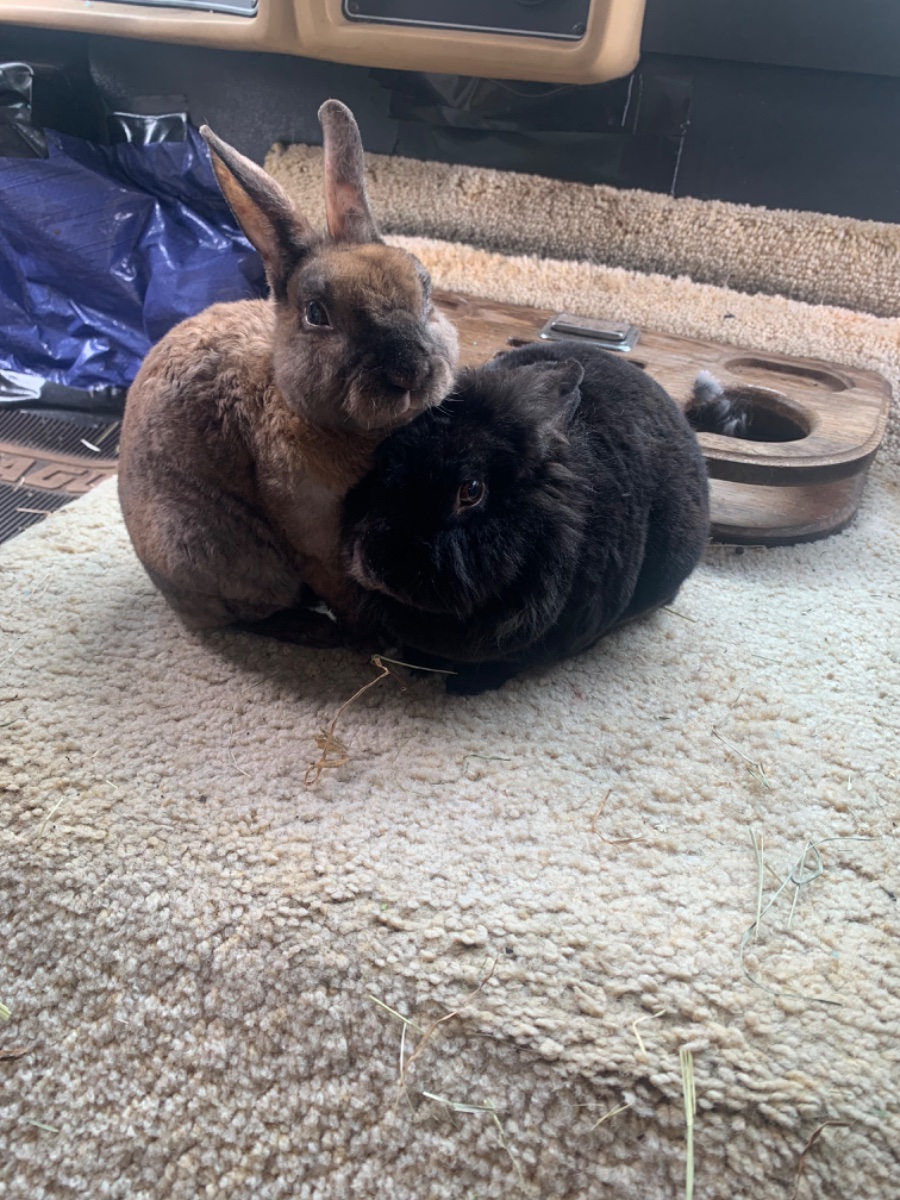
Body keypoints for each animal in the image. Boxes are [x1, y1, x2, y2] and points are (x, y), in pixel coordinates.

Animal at [118, 100, 458, 638]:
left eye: (424, 291)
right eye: (317, 314)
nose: (411, 370)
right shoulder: (311, 532)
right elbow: (344, 590)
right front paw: (377, 634)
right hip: (206, 548)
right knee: (247, 613)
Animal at [340, 340, 715, 696]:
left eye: (471, 490)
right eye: (384, 463)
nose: (372, 561)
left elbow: (506, 664)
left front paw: (466, 686)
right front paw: (417, 665)